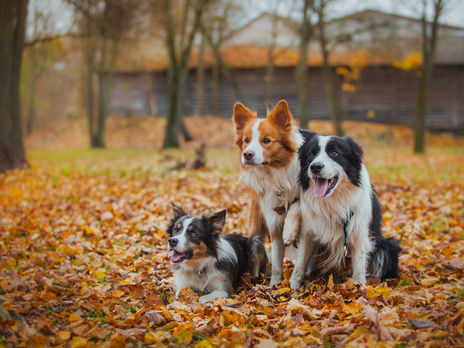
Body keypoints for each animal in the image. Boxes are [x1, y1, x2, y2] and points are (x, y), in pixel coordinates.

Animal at [232, 100, 312, 286]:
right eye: (246, 140)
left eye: (266, 140)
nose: (247, 154)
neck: (275, 172)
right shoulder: (273, 219)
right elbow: (276, 259)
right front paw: (275, 284)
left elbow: (296, 204)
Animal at [286, 133, 398, 288]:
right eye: (311, 154)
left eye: (334, 153)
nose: (315, 167)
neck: (333, 200)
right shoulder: (309, 230)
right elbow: (301, 260)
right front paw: (294, 286)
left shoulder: (359, 231)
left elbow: (359, 262)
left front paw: (359, 286)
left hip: (387, 246)